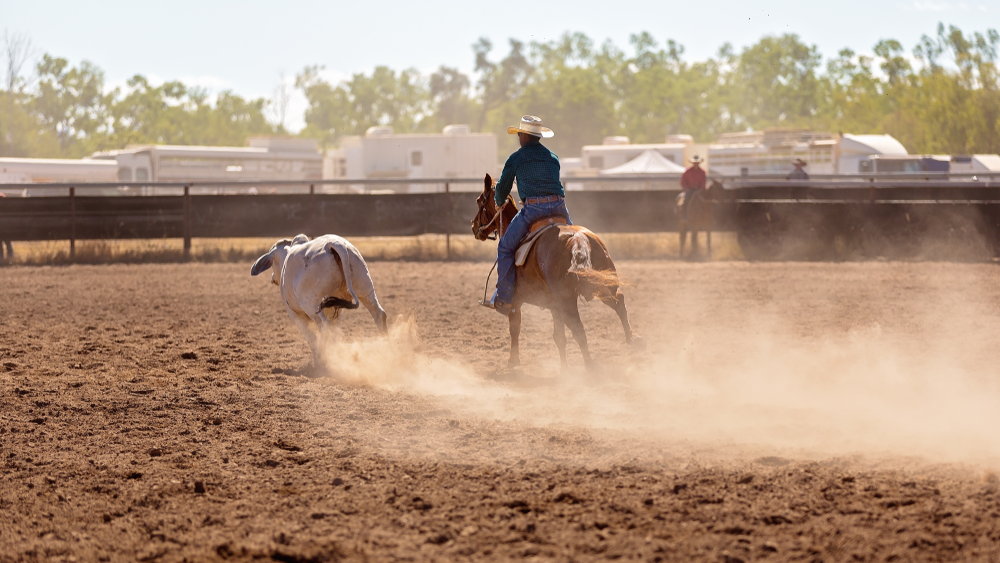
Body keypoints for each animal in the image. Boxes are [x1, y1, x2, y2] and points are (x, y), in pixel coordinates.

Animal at [470, 174, 644, 372]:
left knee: (578, 328)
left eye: (479, 201)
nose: (474, 227)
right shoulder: (554, 306)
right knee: (619, 302)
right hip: (601, 285)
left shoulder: (516, 300)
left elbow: (515, 327)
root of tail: (578, 238)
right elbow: (559, 337)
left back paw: (591, 366)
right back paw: (633, 340)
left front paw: (513, 361)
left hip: (567, 300)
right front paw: (564, 369)